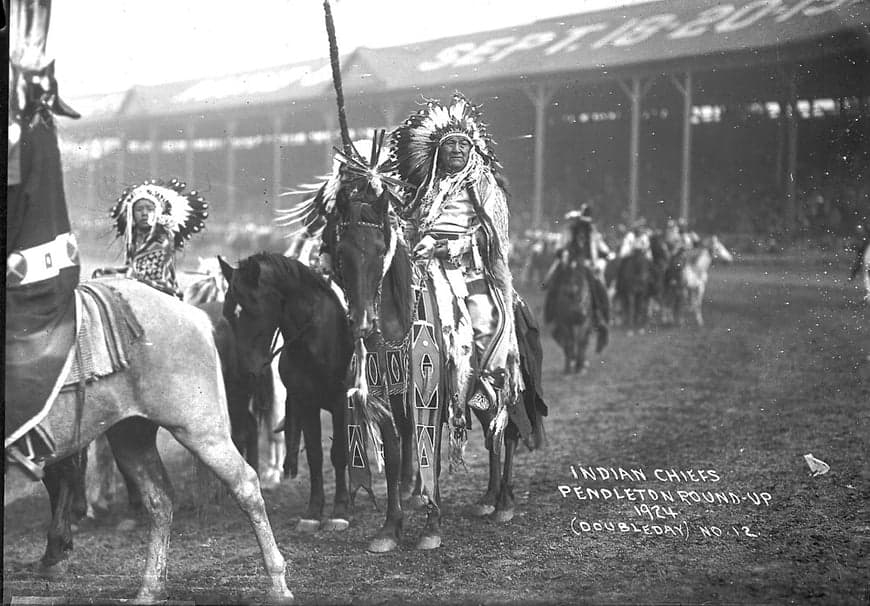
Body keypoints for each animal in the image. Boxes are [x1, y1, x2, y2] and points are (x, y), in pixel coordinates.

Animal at [5, 4, 292, 600]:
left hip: (201, 425)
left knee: (245, 481)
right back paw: (143, 581)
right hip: (130, 431)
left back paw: (277, 580)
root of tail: (196, 317)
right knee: (158, 499)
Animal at [221, 254, 358, 536]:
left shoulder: (340, 402)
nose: (243, 373)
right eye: (228, 312)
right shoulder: (307, 403)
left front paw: (339, 511)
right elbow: (316, 456)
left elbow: (338, 453)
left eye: (252, 309)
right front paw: (313, 513)